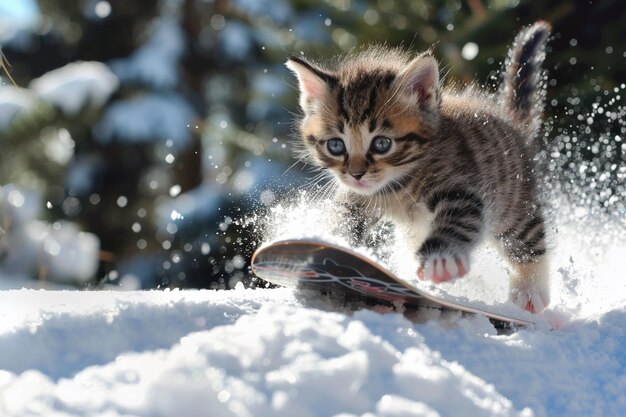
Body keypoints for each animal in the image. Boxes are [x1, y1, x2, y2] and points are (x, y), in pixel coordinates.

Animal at [286, 20, 548, 312]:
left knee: (528, 240)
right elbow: (344, 219)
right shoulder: (356, 198)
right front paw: (329, 243)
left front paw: (440, 258)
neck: (396, 185)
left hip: (512, 201)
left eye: (381, 144)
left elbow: (460, 219)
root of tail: (512, 125)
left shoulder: (460, 188)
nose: (356, 174)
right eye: (335, 146)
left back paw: (529, 291)